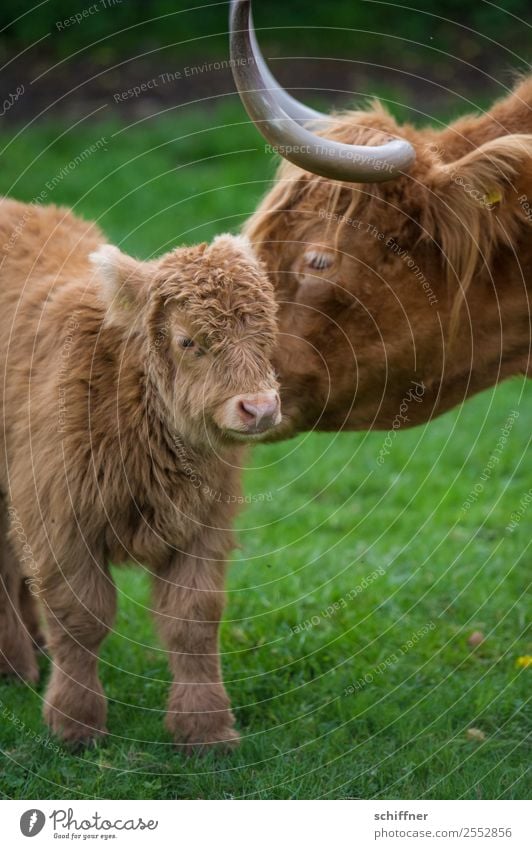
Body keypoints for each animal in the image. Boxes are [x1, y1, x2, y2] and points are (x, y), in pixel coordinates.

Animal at [0, 197, 280, 748]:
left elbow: (193, 619)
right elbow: (81, 617)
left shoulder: (205, 525)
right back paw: (14, 667)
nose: (259, 408)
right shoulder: (59, 519)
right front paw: (75, 724)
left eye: (268, 330)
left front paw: (205, 729)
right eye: (189, 340)